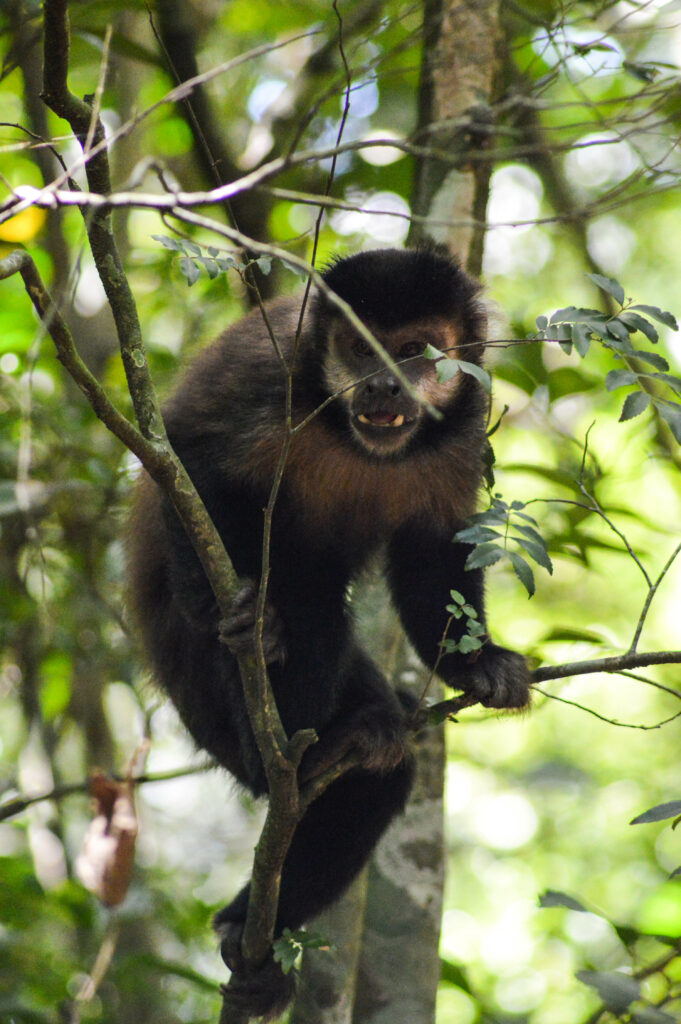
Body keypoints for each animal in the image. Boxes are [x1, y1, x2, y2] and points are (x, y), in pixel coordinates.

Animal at [127, 245, 532, 1015]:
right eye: (359, 348)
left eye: (415, 351)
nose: (382, 384)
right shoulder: (268, 370)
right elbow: (182, 454)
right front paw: (238, 614)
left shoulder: (467, 417)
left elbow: (435, 553)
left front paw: (479, 664)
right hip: (193, 677)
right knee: (304, 602)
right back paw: (283, 739)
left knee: (378, 774)